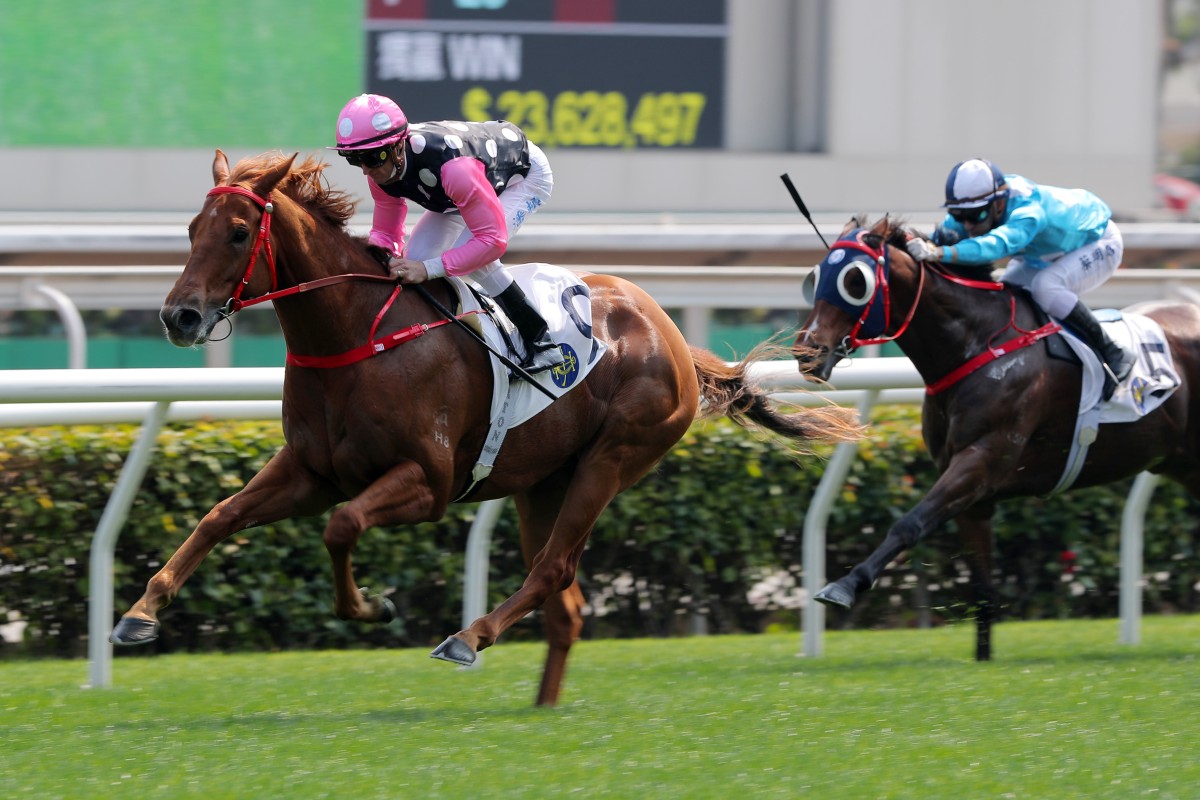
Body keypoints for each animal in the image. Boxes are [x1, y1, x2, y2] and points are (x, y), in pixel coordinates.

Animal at [108, 149, 859, 705]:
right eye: (190, 231)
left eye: (239, 233)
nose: (179, 316)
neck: (355, 337)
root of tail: (669, 332)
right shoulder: (313, 470)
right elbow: (221, 516)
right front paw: (140, 614)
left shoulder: (428, 483)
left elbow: (342, 526)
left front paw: (371, 608)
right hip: (542, 481)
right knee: (566, 604)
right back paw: (541, 704)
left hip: (611, 460)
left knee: (553, 569)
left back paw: (467, 638)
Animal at [796, 215, 1200, 662]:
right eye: (815, 277)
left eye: (855, 281)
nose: (807, 352)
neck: (977, 345)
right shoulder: (974, 494)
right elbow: (983, 583)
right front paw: (983, 659)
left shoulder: (981, 461)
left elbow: (909, 524)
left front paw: (844, 585)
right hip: (1184, 464)